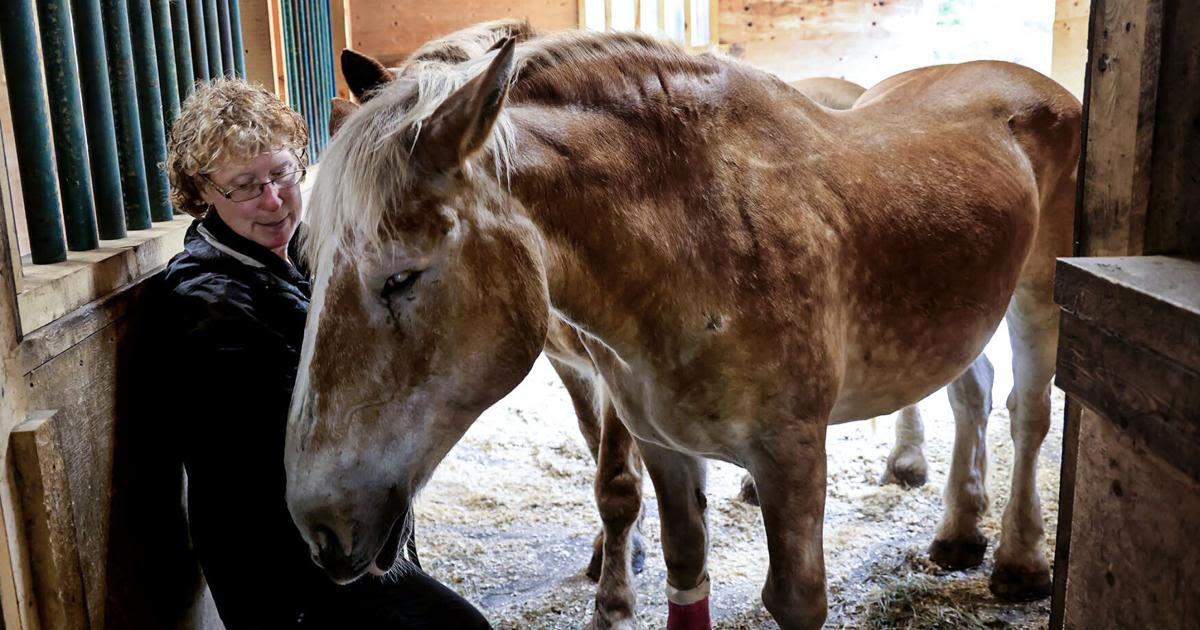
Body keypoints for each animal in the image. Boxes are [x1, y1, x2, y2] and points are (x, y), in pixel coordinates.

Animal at [288, 28, 1080, 628]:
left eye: (401, 277)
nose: (318, 527)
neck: (701, 236)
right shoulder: (663, 448)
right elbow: (678, 565)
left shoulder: (792, 459)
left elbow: (794, 598)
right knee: (971, 391)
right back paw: (958, 531)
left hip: (1038, 299)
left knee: (1028, 415)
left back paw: (1019, 560)